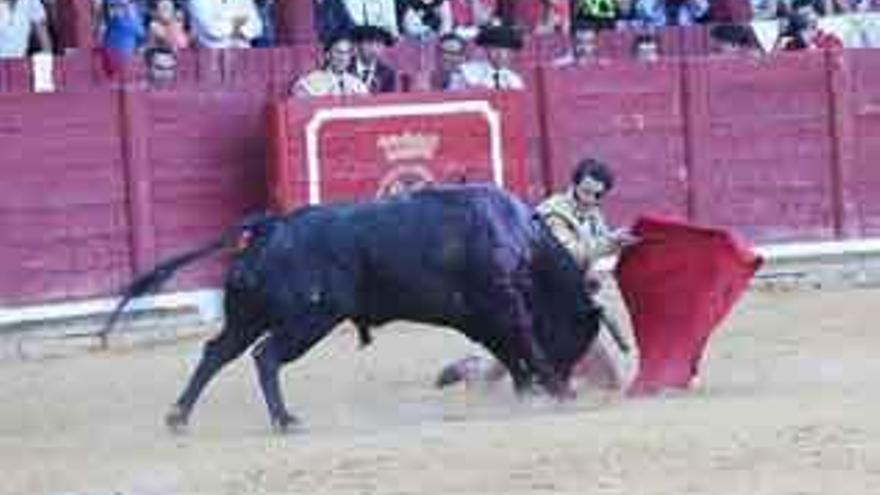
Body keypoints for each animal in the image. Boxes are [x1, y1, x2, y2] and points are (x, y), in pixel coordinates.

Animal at [99, 186, 600, 434]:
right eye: (579, 335)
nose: (569, 374)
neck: (522, 238)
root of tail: (270, 226)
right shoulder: (503, 308)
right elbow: (524, 345)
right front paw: (557, 391)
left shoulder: (480, 317)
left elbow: (510, 352)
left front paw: (528, 391)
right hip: (309, 320)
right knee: (265, 355)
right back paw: (284, 420)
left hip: (248, 316)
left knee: (216, 353)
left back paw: (178, 417)